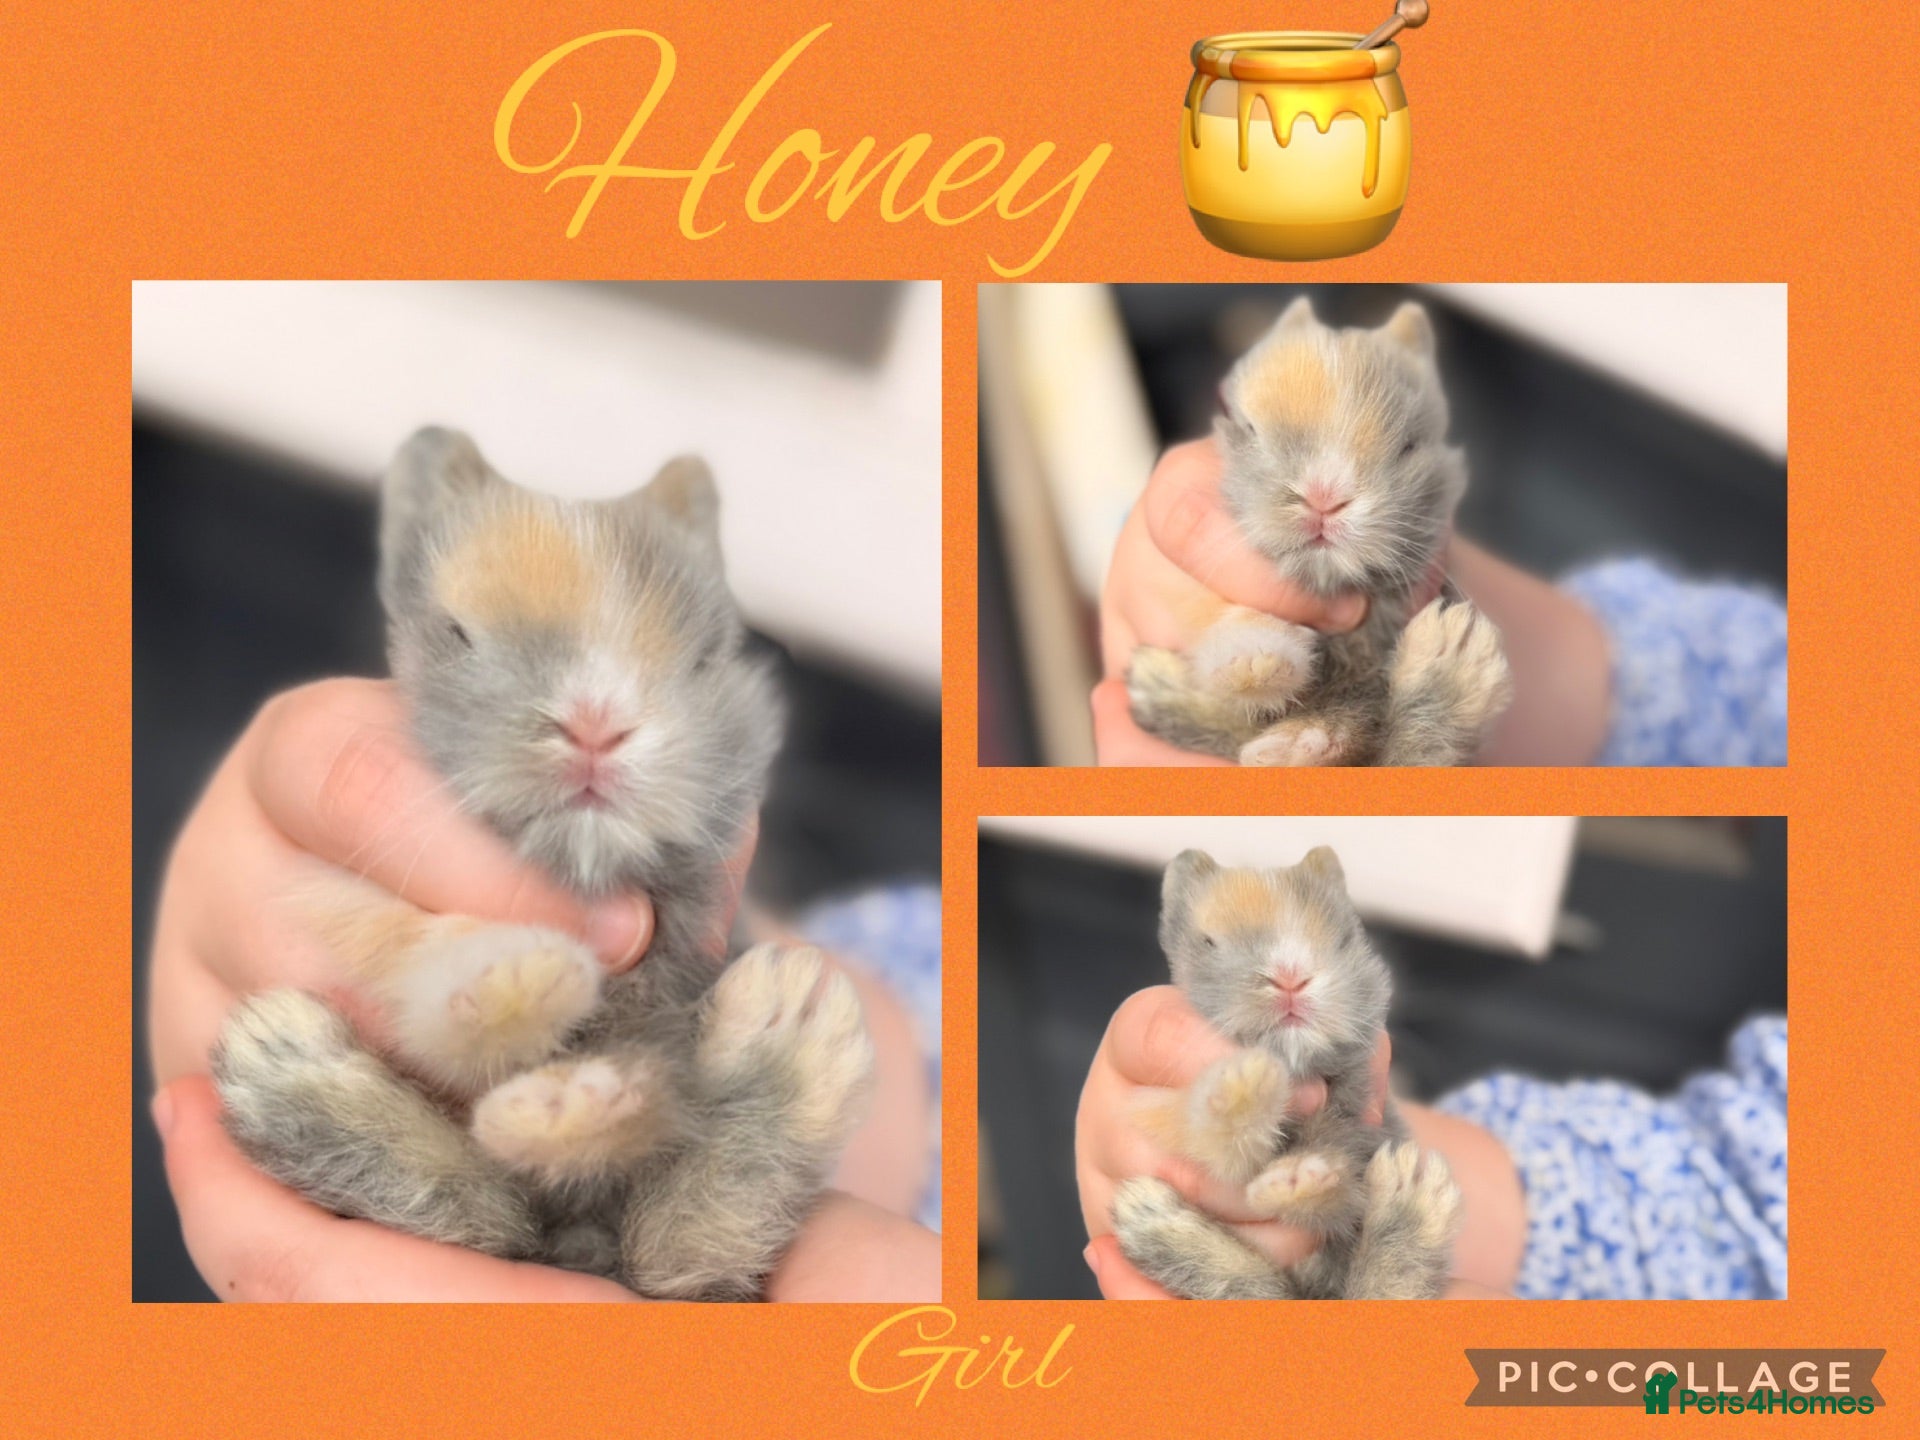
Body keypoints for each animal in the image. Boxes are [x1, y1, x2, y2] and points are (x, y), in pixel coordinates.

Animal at [1110, 846, 1461, 1299]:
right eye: (1208, 942)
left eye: (1345, 939)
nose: (1290, 977)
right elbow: (1215, 1139)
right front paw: (1245, 1087)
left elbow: (1335, 1196)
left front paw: (1298, 1179)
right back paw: (1147, 1214)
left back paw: (1412, 1195)